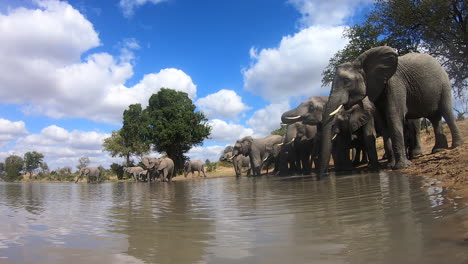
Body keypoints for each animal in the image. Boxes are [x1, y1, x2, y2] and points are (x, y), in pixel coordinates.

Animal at [320, 46, 462, 177]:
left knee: (445, 111)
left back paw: (454, 146)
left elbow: (393, 117)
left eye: (347, 81)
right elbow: (385, 123)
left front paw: (400, 167)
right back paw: (439, 150)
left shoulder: (394, 84)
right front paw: (391, 165)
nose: (324, 175)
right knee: (434, 118)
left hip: (444, 82)